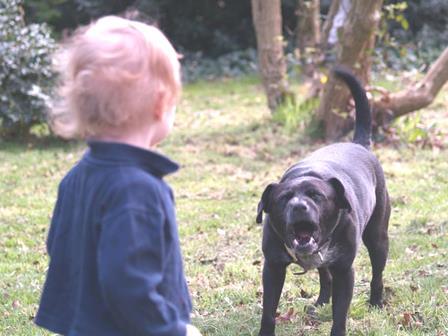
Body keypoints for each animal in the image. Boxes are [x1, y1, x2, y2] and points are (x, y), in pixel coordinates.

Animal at [258, 67, 390, 336]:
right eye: (284, 198)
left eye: (316, 196)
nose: (299, 206)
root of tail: (359, 144)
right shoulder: (273, 267)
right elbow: (268, 311)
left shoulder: (344, 270)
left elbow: (340, 314)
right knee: (323, 276)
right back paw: (320, 301)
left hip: (378, 238)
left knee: (377, 275)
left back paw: (375, 302)